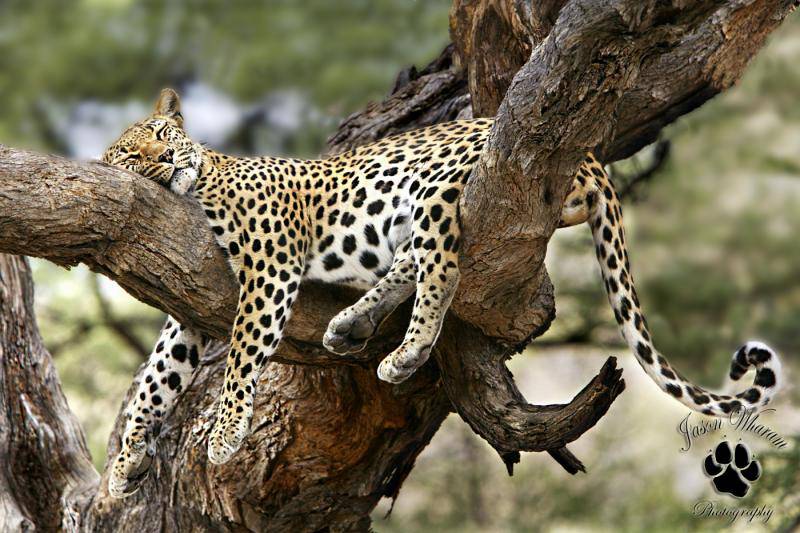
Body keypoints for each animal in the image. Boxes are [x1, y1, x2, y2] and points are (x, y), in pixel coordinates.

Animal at [100, 88, 780, 498]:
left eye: (162, 134)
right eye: (132, 155)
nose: (167, 160)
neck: (201, 182)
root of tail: (589, 155)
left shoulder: (269, 266)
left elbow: (242, 358)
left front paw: (223, 434)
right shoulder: (191, 304)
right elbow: (156, 379)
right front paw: (124, 463)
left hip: (434, 186)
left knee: (443, 269)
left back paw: (404, 352)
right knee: (413, 263)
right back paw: (351, 325)